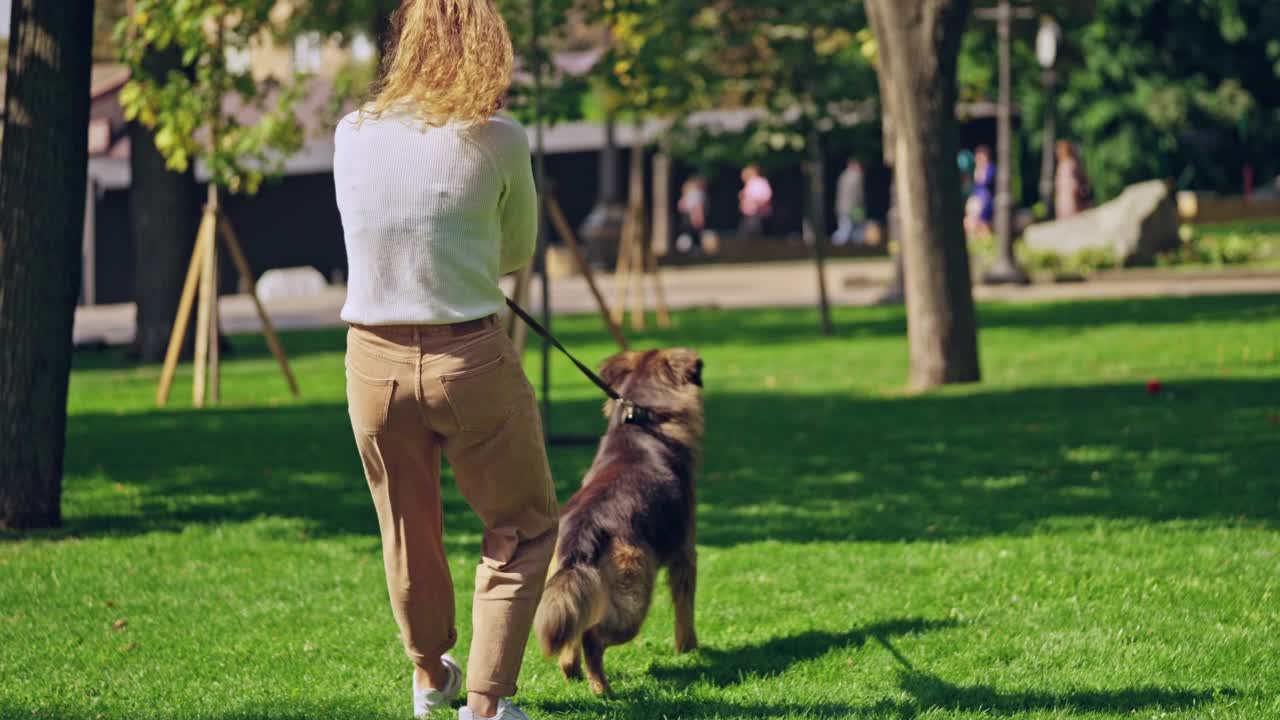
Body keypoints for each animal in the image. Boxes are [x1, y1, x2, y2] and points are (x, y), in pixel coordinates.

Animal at [532, 348, 706, 696]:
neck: (640, 428)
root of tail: (583, 531)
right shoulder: (685, 553)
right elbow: (685, 609)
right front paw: (689, 649)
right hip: (634, 594)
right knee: (591, 637)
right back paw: (603, 690)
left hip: (568, 582)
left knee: (572, 635)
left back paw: (574, 674)